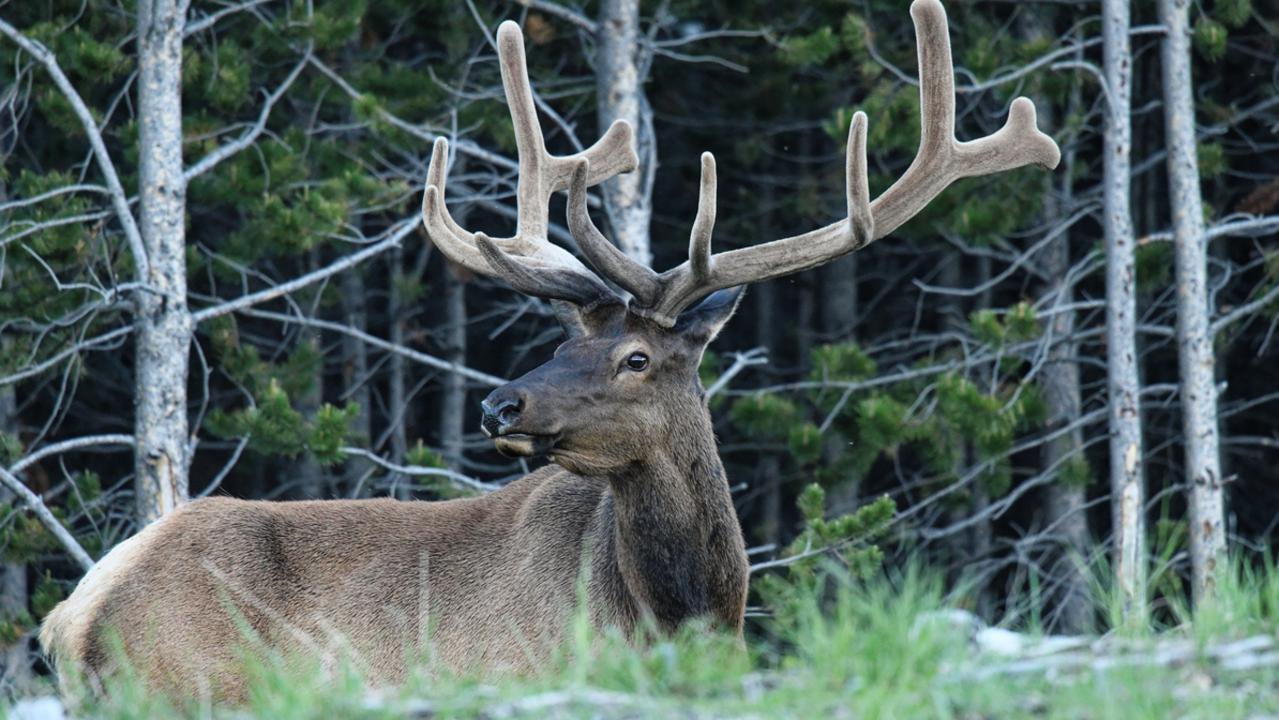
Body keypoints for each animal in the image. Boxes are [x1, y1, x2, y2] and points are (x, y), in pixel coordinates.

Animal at [42, 0, 1059, 700]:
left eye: (635, 358)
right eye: (568, 341)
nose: (500, 404)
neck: (681, 614)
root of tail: (73, 614)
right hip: (187, 687)